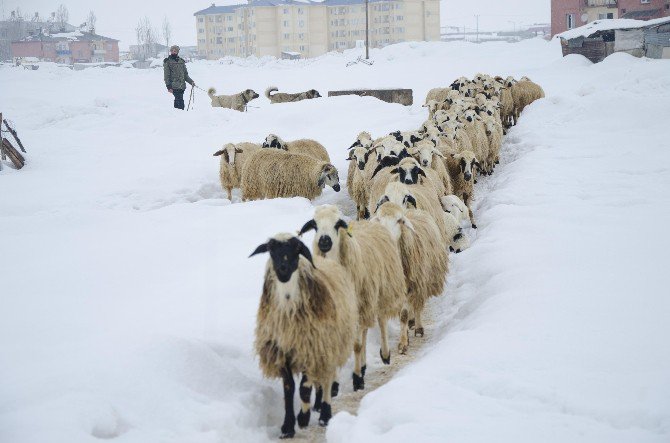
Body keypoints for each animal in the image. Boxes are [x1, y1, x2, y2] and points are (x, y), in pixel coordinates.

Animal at [252, 234, 360, 438]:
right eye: (270, 250)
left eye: (297, 249)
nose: (282, 269)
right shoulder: (283, 351)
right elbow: (289, 389)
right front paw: (287, 427)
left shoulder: (312, 349)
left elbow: (303, 388)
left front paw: (302, 418)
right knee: (320, 380)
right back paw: (317, 406)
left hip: (329, 345)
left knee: (326, 379)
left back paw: (324, 413)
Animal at [300, 206, 406, 390]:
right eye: (314, 225)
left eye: (337, 224)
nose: (324, 241)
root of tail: (368, 223)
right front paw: (333, 384)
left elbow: (356, 345)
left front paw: (357, 379)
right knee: (364, 331)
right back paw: (363, 365)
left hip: (378, 293)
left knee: (381, 320)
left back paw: (385, 354)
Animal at [376, 203, 448, 346]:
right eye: (379, 219)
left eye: (399, 220)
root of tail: (411, 210)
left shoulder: (412, 285)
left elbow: (404, 314)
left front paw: (403, 343)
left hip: (422, 281)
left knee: (418, 305)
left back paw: (418, 327)